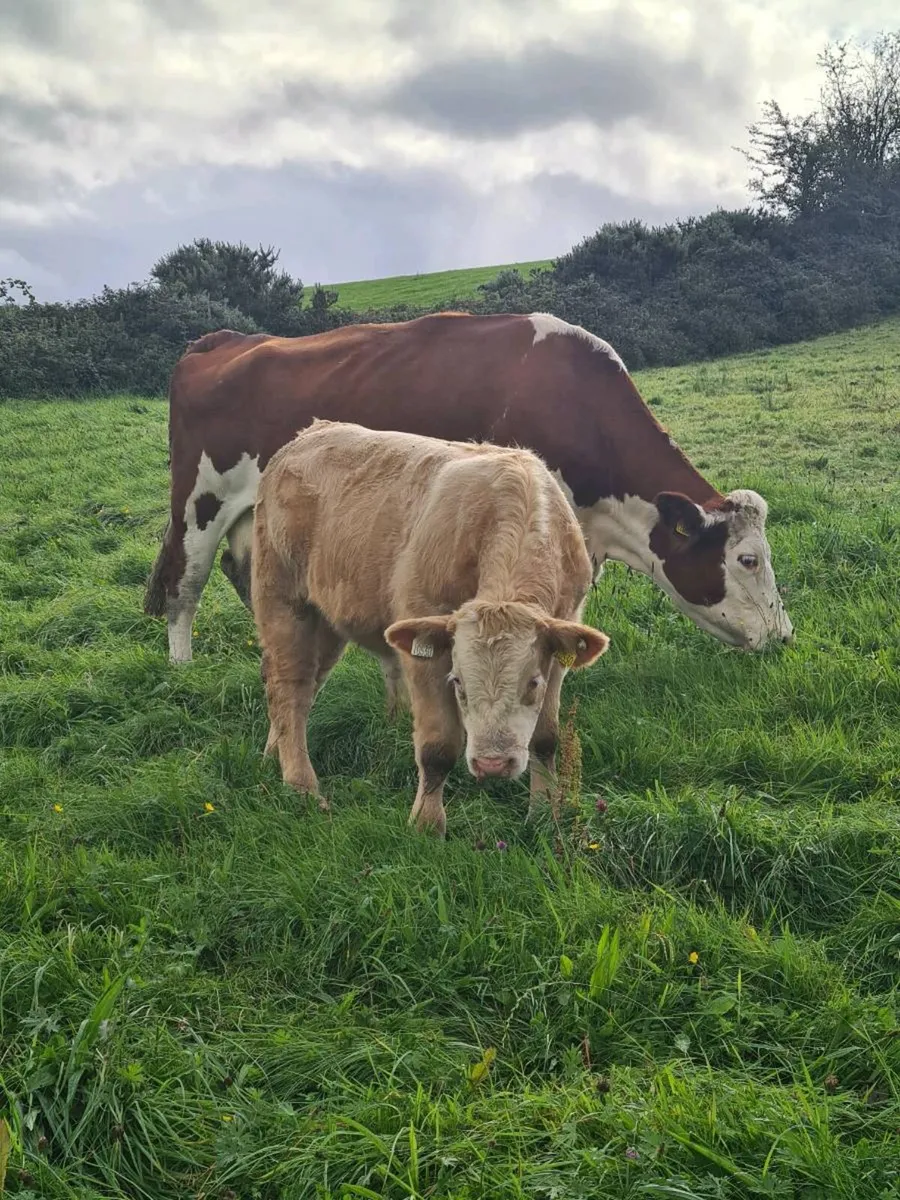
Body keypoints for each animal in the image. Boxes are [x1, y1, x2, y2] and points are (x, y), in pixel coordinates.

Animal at [144, 311, 794, 679]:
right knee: (184, 581)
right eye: (747, 559)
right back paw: (182, 671)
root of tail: (220, 341)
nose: (784, 636)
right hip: (199, 500)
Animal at [251, 419, 610, 836]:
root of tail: (310, 433)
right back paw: (301, 785)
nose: (492, 764)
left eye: (532, 683)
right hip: (283, 600)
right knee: (289, 686)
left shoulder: (563, 638)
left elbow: (546, 738)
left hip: (327, 621)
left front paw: (544, 814)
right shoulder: (425, 643)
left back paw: (273, 753)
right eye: (458, 684)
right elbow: (438, 748)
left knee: (301, 687)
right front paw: (426, 825)